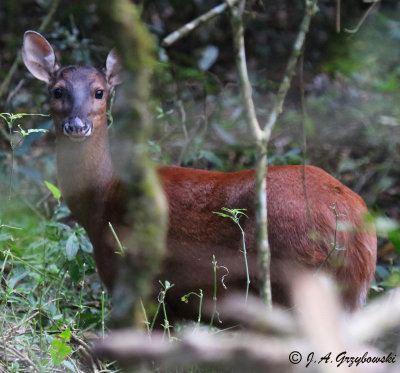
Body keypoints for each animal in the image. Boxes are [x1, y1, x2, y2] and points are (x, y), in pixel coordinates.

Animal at [23, 30, 376, 318]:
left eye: (99, 92)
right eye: (57, 91)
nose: (77, 125)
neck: (103, 198)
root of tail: (357, 227)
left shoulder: (131, 276)